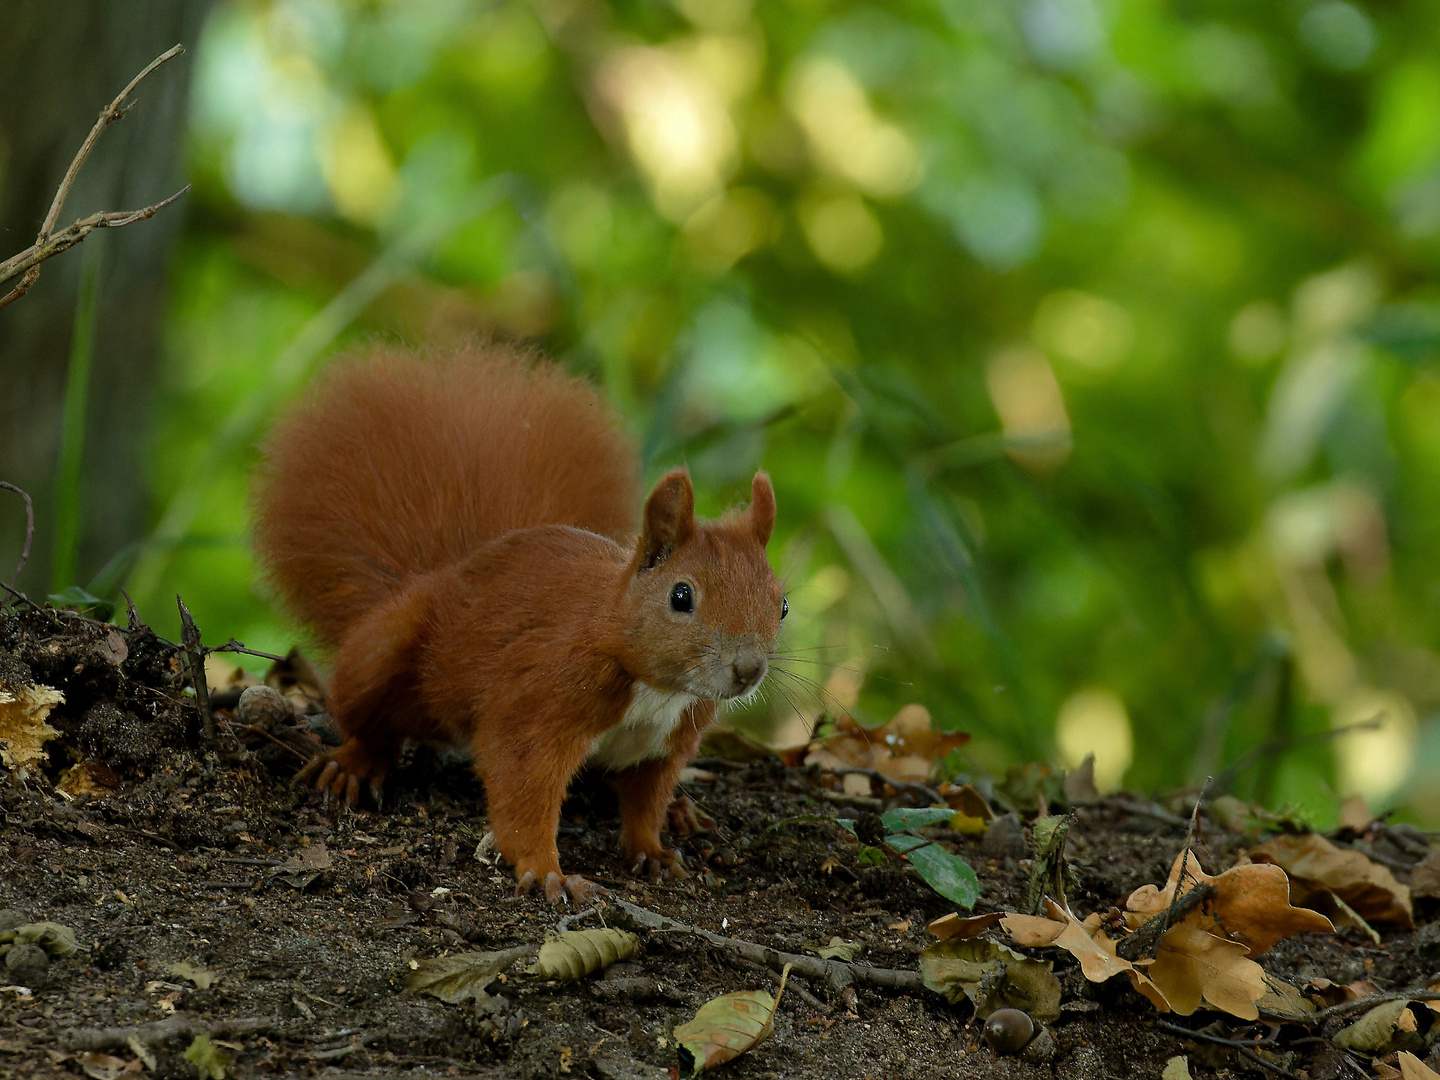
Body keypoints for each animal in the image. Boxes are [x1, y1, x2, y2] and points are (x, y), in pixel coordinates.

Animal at [253, 344, 783, 904]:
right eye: (681, 596)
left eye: (783, 604)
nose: (748, 669)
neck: (653, 688)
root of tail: (452, 570)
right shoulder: (541, 699)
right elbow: (522, 784)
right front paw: (546, 869)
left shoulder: (667, 744)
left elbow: (645, 801)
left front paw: (653, 849)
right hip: (382, 653)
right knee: (374, 723)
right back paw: (352, 763)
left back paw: (683, 811)